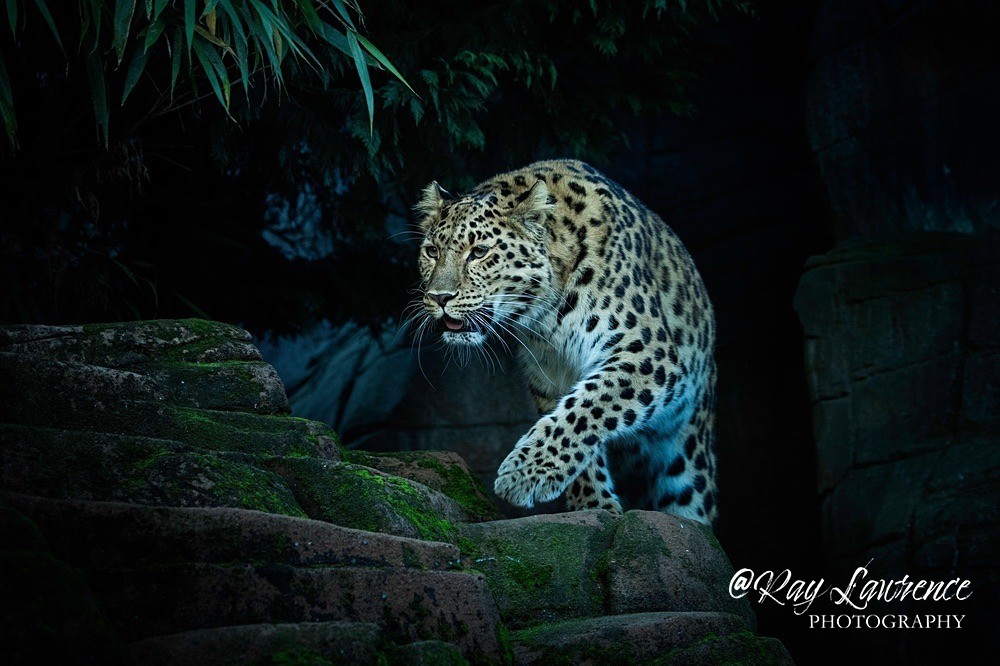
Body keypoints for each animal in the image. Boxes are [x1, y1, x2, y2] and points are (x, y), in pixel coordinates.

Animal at [413, 159, 718, 524]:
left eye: (480, 252)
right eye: (432, 251)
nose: (439, 297)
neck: (548, 315)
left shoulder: (648, 353)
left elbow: (587, 407)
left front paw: (523, 475)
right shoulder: (551, 375)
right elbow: (574, 425)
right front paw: (594, 507)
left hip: (687, 455)